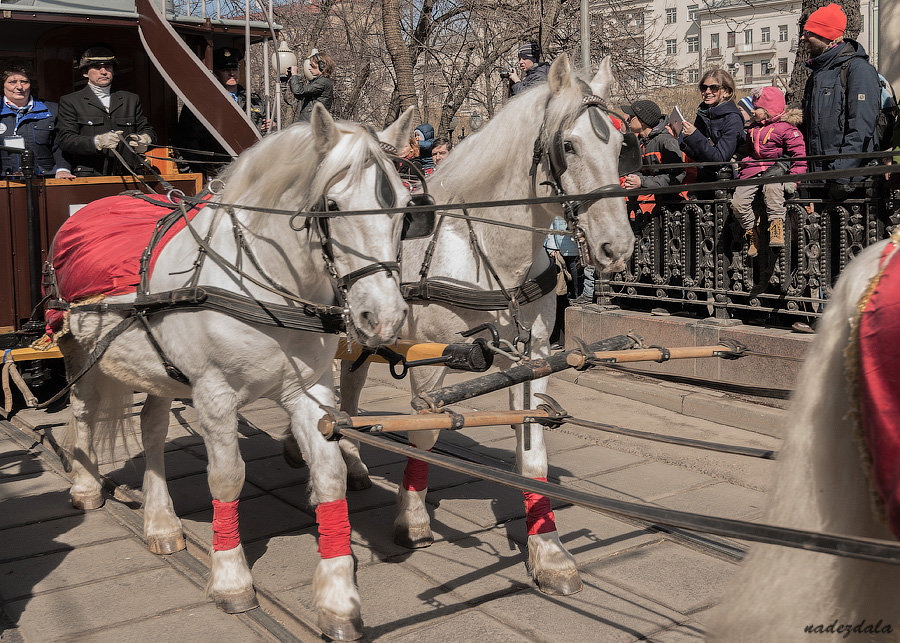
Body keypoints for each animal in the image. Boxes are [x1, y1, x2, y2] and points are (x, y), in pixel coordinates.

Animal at [59, 105, 414, 640]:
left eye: (407, 209)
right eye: (331, 206)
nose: (384, 317)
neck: (266, 287)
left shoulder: (310, 392)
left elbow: (329, 476)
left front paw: (338, 599)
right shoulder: (213, 395)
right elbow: (226, 479)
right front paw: (230, 578)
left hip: (160, 369)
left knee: (153, 429)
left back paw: (160, 521)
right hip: (80, 349)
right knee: (82, 412)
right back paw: (85, 486)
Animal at [334, 57, 636, 596]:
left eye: (621, 144)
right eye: (568, 145)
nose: (616, 248)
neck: (484, 250)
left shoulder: (534, 356)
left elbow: (532, 450)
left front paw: (548, 552)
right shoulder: (429, 357)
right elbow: (425, 432)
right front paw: (413, 519)